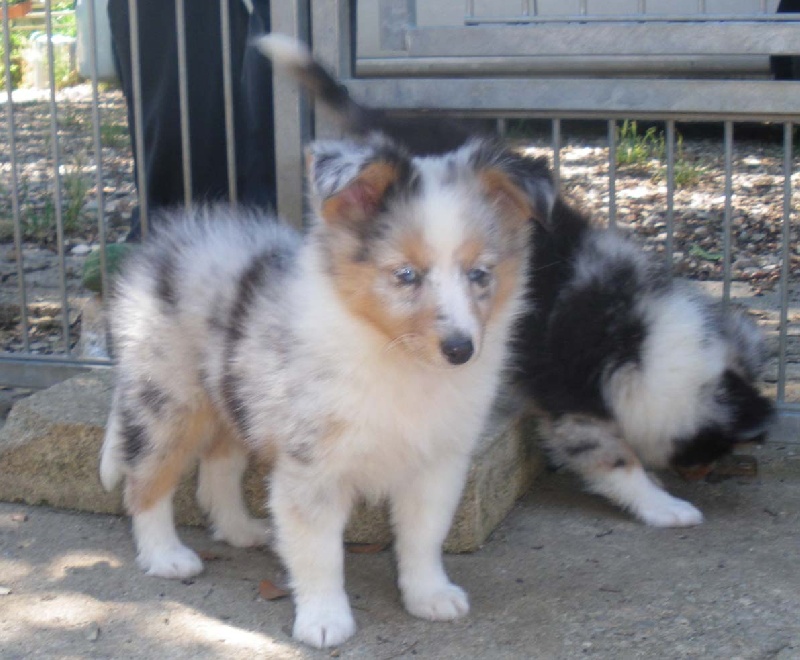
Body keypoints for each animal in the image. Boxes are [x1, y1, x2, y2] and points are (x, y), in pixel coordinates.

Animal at [100, 133, 552, 644]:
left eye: (480, 274)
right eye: (405, 275)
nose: (461, 350)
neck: (393, 356)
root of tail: (165, 244)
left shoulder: (437, 462)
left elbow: (423, 536)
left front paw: (429, 595)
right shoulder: (312, 466)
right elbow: (320, 553)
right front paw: (323, 621)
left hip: (237, 400)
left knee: (217, 470)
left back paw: (241, 530)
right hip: (167, 401)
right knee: (145, 481)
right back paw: (165, 556)